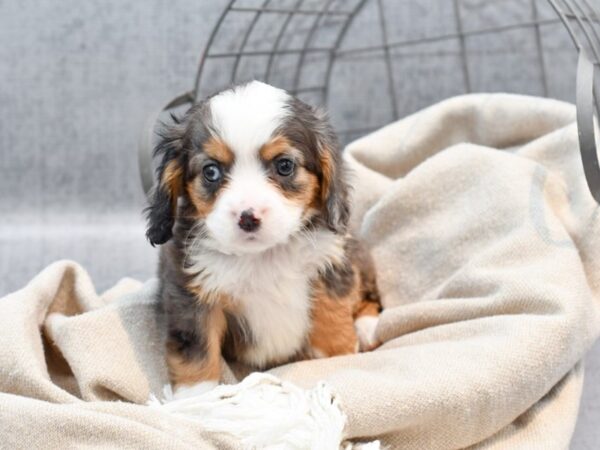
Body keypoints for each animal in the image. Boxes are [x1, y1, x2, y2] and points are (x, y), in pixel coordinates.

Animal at [145, 81, 380, 398]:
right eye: (211, 171)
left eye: (284, 165)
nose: (248, 217)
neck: (263, 255)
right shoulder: (191, 296)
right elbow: (196, 351)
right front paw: (196, 399)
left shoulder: (331, 268)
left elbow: (332, 323)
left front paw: (338, 359)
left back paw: (367, 327)